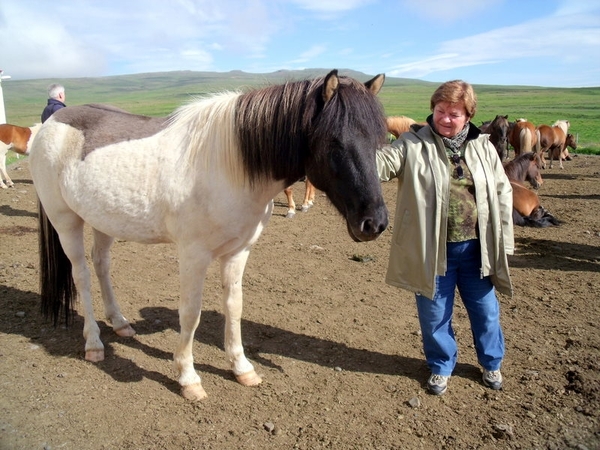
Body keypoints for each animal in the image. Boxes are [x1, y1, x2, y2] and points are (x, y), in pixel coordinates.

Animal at [30, 69, 390, 400]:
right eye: (334, 142)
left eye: (379, 140)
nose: (374, 223)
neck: (229, 165)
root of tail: (53, 124)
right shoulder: (193, 255)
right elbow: (191, 314)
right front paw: (188, 378)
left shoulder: (238, 252)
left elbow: (234, 306)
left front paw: (242, 368)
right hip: (66, 221)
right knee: (81, 274)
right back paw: (93, 343)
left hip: (104, 220)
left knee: (101, 265)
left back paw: (119, 323)